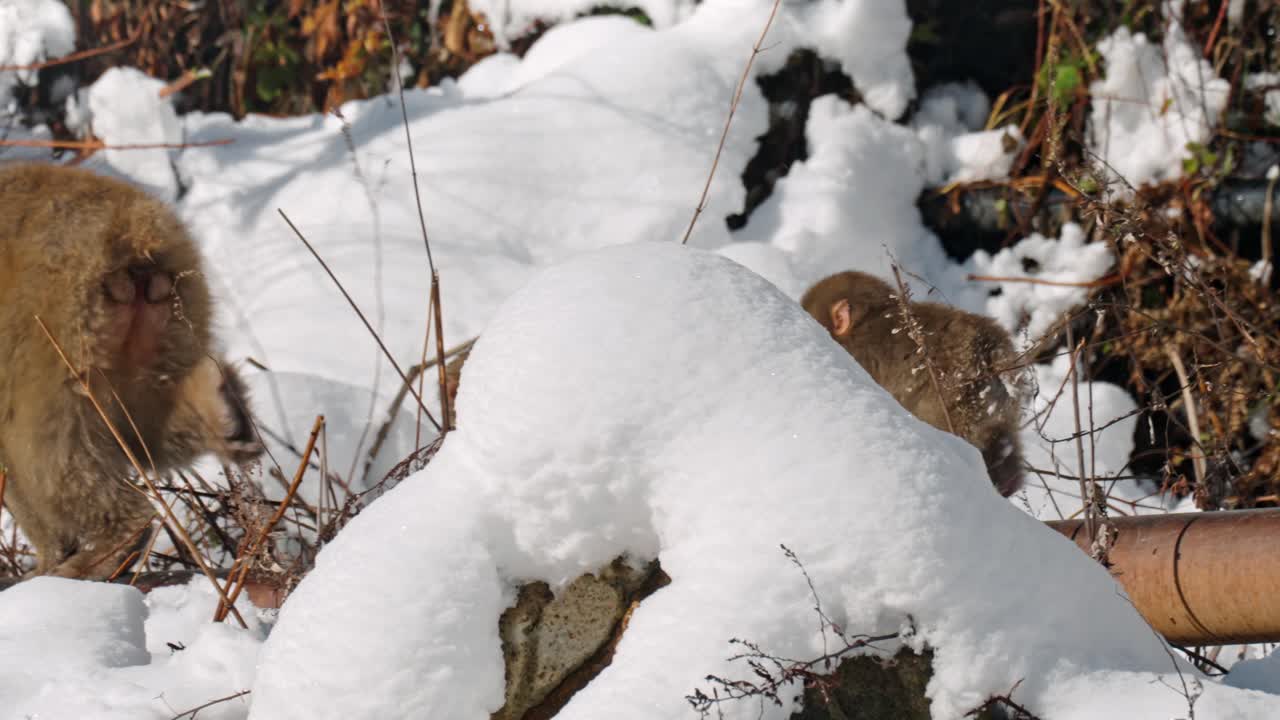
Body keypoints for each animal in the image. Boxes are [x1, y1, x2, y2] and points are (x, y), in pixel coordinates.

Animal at [0, 162, 262, 579]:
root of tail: (128, 226)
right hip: (170, 315)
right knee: (143, 420)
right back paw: (224, 411)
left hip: (51, 327)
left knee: (40, 449)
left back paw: (91, 553)